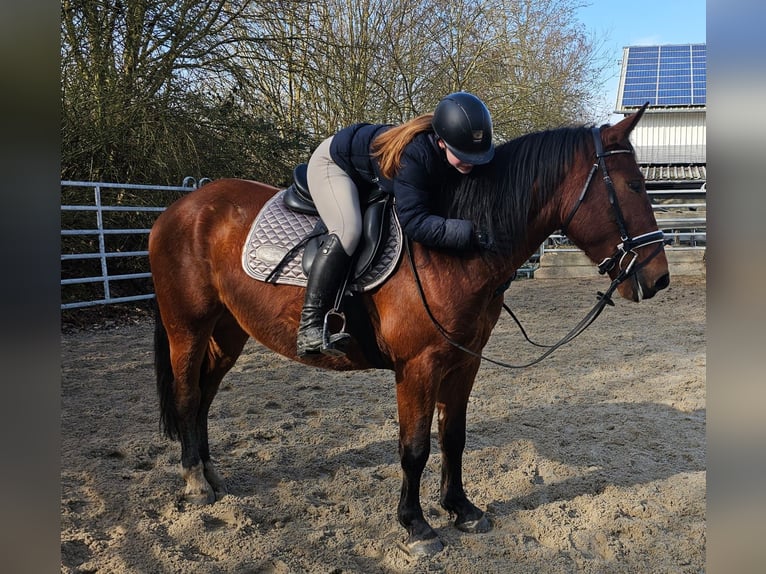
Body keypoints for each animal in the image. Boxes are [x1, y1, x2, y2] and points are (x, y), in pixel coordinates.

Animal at [148, 106, 664, 556]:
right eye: (636, 185)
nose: (659, 279)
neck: (450, 254)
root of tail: (179, 208)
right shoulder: (418, 367)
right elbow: (414, 448)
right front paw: (415, 525)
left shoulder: (464, 360)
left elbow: (453, 436)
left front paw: (460, 508)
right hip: (187, 328)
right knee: (188, 395)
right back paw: (195, 481)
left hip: (228, 331)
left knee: (205, 394)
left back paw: (211, 474)